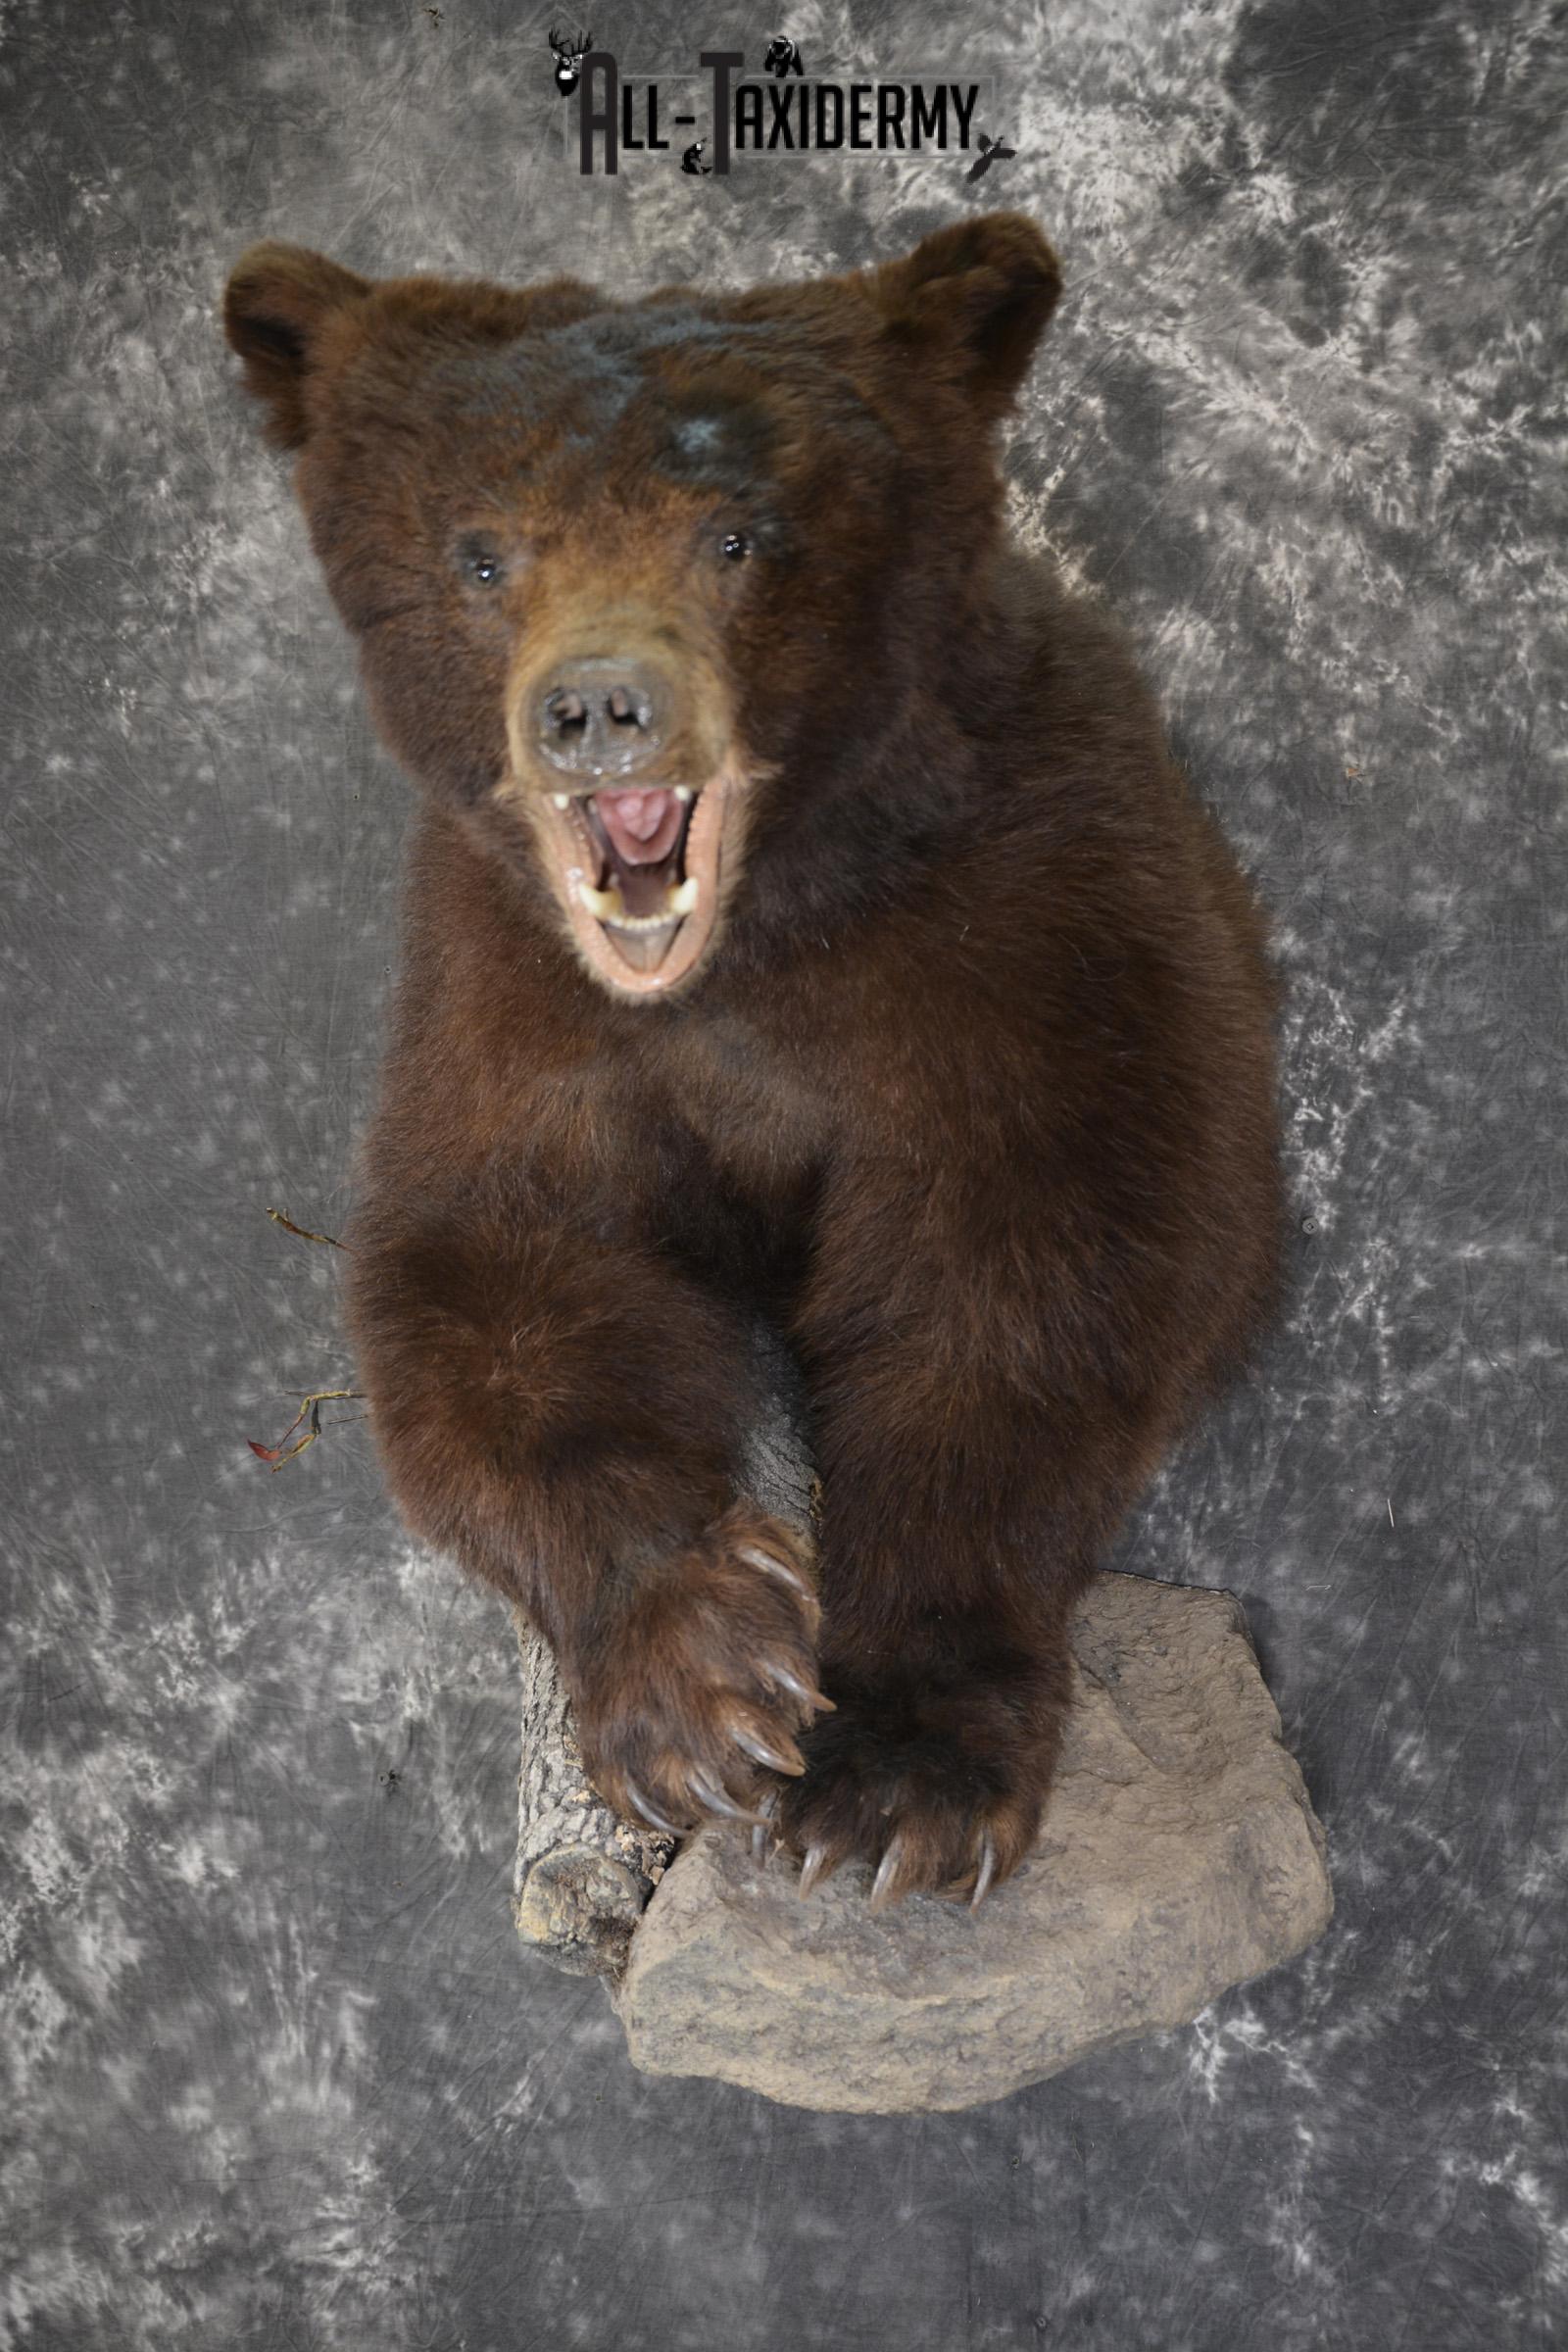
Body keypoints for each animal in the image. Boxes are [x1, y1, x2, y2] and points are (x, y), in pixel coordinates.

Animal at [223, 215, 1283, 1910]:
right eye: (482, 551)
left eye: (737, 534)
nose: (598, 706)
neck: (760, 944)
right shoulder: (510, 999)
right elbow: (492, 1282)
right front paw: (702, 1680)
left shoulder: (1042, 923)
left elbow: (1040, 1278)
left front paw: (900, 1776)